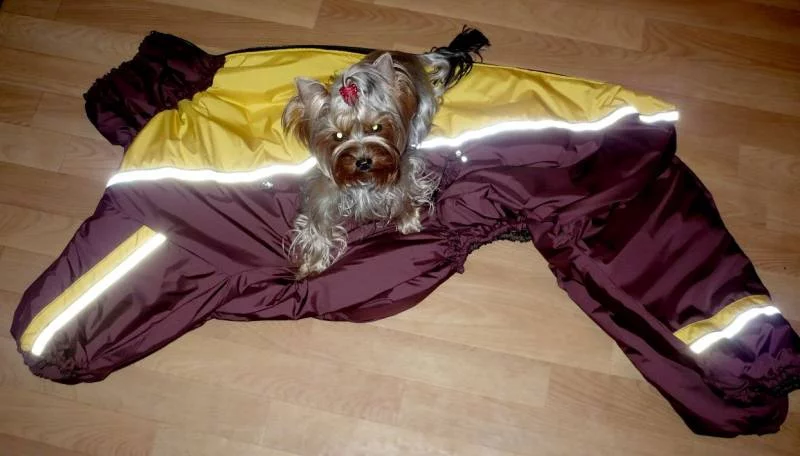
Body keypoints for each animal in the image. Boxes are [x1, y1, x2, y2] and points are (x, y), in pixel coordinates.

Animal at [281, 27, 490, 279]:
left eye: (376, 128)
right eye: (338, 136)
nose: (363, 162)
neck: (364, 180)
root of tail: (408, 55)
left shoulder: (402, 163)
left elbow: (405, 190)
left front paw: (409, 221)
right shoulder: (325, 186)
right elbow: (318, 221)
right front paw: (312, 264)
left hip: (422, 109)